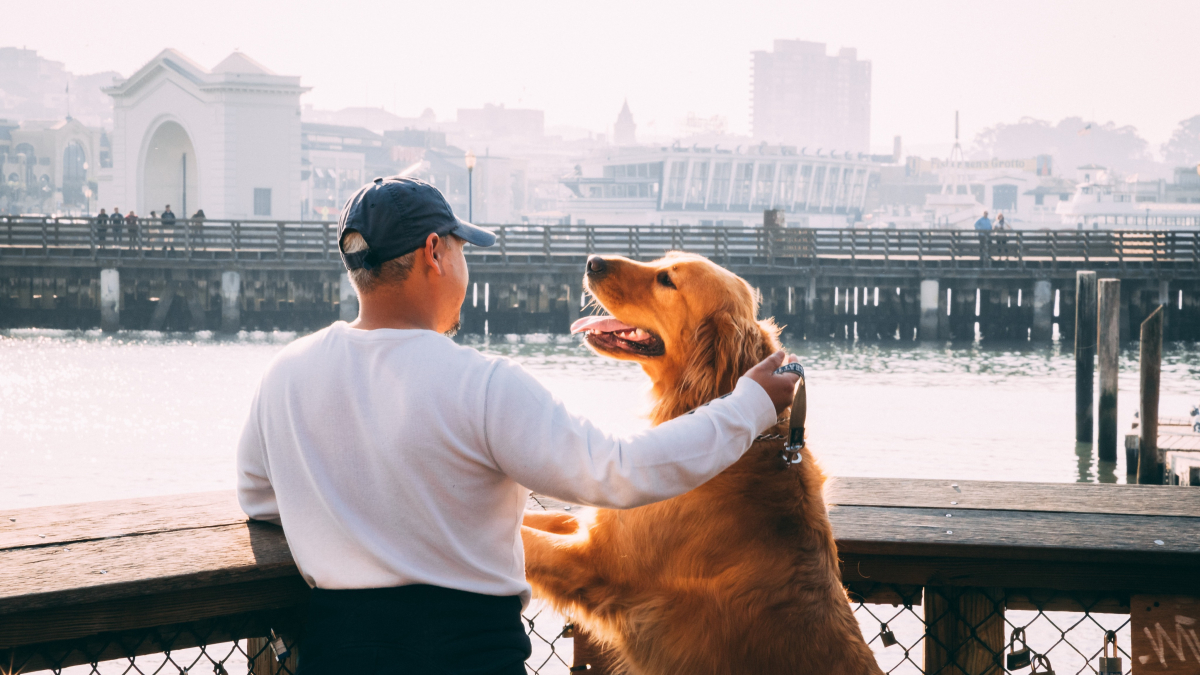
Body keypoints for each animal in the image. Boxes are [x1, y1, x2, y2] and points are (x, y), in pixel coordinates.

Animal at [518, 249, 883, 667]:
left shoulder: (594, 562)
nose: (592, 261)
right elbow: (538, 519)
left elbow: (525, 540)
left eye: (667, 280)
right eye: (660, 261)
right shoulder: (593, 528)